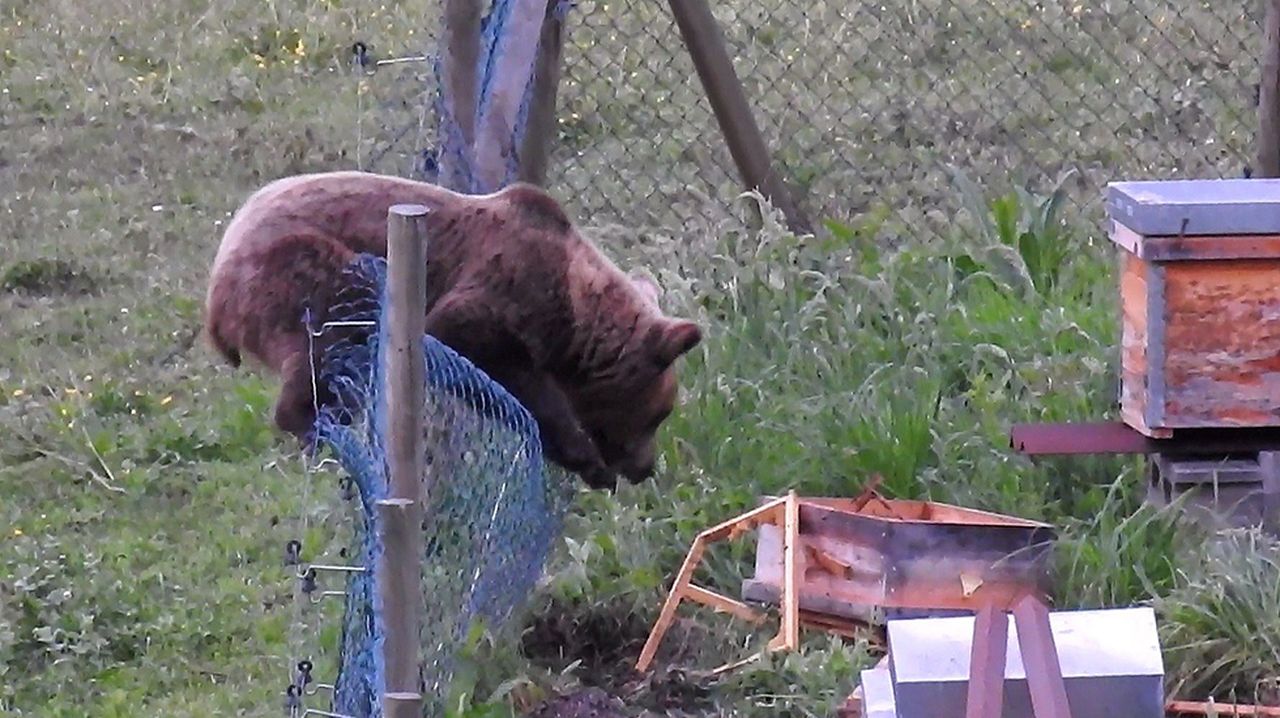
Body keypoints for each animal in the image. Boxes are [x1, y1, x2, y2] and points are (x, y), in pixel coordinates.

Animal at [203, 170, 702, 490]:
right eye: (659, 413)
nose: (645, 467)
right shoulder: (499, 295)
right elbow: (503, 370)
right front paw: (586, 459)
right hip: (306, 268)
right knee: (332, 342)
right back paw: (322, 427)